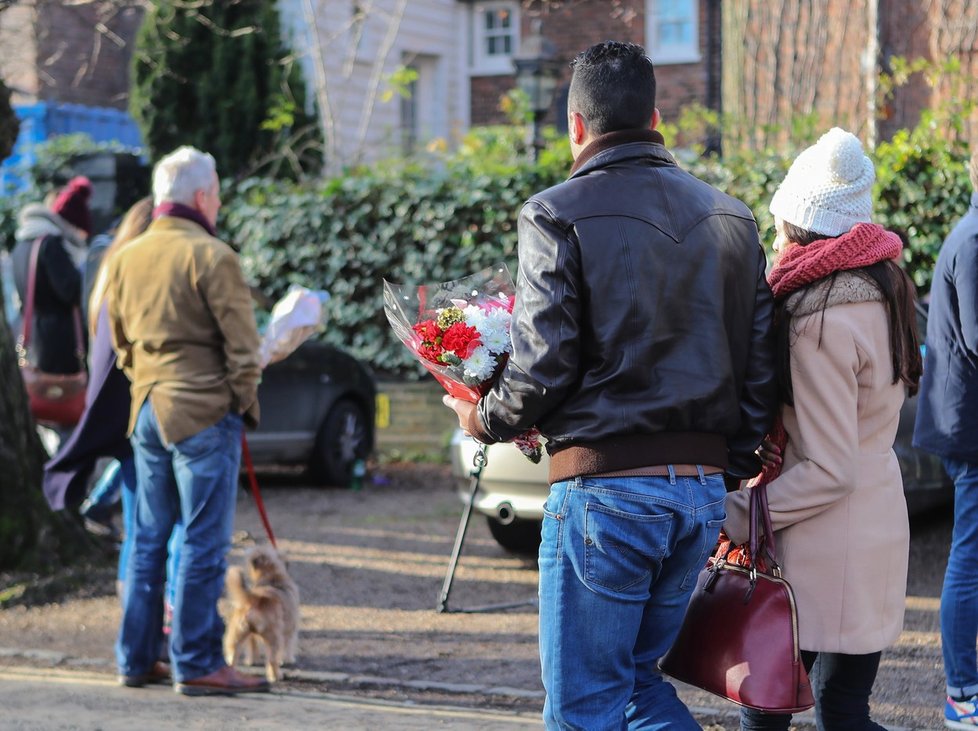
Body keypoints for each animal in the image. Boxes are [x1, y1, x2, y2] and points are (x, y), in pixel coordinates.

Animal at [223, 548, 300, 684]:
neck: (272, 578)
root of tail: (255, 599)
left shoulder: (251, 636)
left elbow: (252, 647)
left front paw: (252, 661)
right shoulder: (290, 629)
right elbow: (289, 646)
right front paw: (288, 659)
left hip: (236, 635)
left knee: (231, 656)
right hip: (274, 639)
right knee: (272, 661)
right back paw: (276, 676)